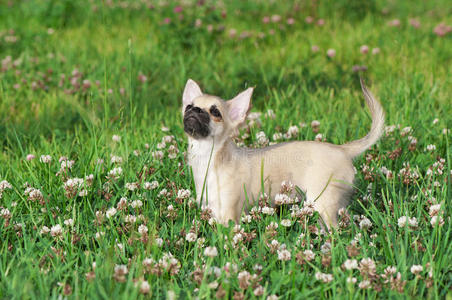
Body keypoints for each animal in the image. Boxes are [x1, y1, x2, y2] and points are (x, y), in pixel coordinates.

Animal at [182, 78, 384, 226]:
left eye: (216, 112)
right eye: (188, 107)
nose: (195, 110)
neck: (208, 158)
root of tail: (342, 149)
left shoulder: (229, 216)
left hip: (324, 202)